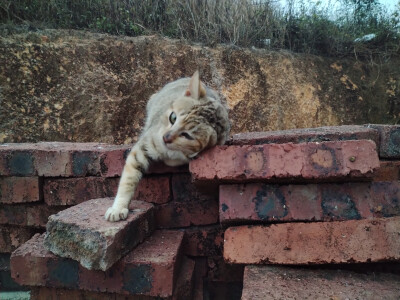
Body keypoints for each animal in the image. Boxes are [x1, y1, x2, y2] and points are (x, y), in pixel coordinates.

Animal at [104, 70, 230, 220]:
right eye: (173, 117)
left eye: (187, 136)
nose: (166, 137)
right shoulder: (143, 146)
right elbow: (128, 179)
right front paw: (118, 208)